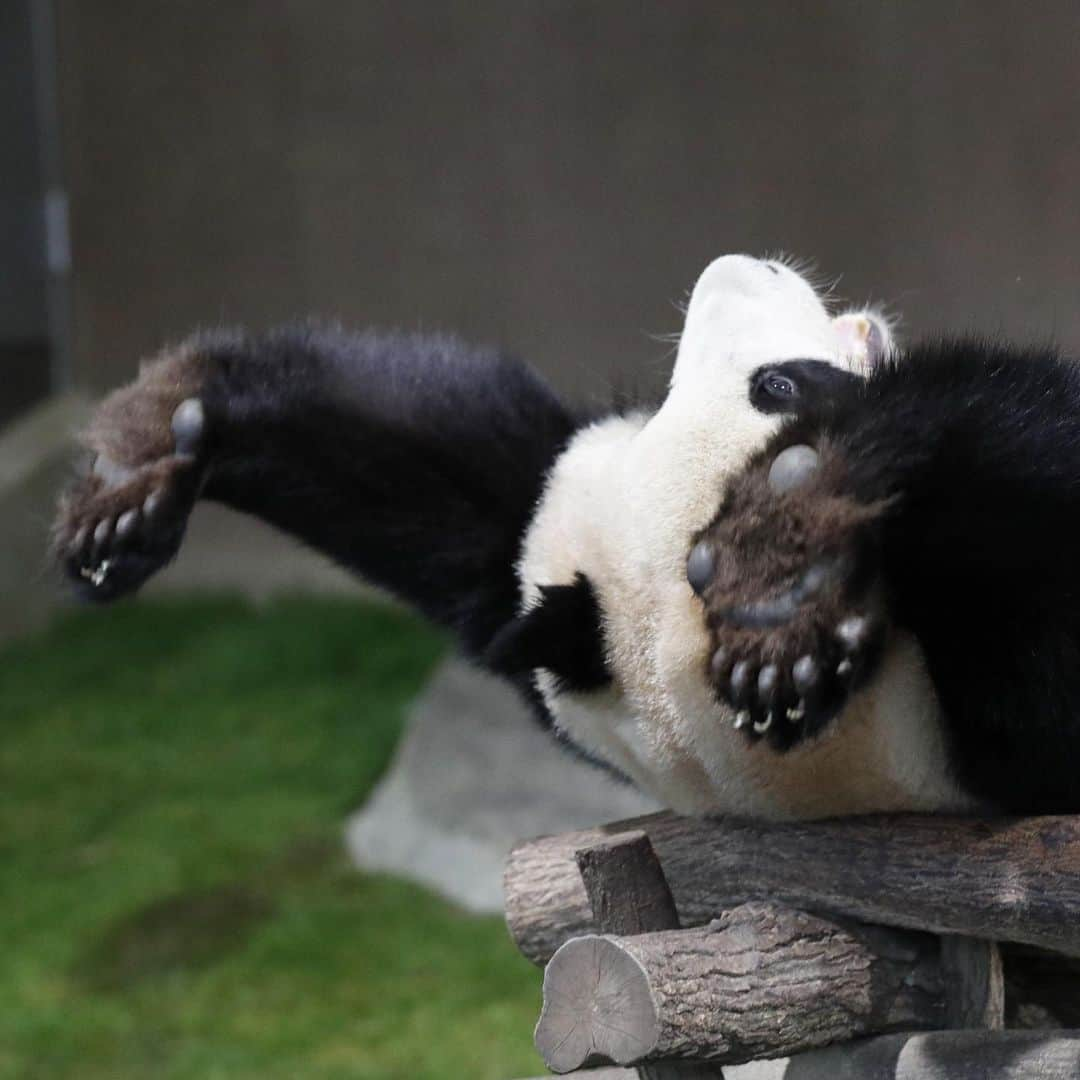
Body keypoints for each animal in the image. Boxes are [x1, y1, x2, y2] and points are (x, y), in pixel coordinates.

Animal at [52, 254, 1080, 816]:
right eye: (775, 387)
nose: (743, 266)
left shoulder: (512, 572)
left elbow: (427, 468)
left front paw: (146, 457)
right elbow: (1018, 429)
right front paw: (801, 536)